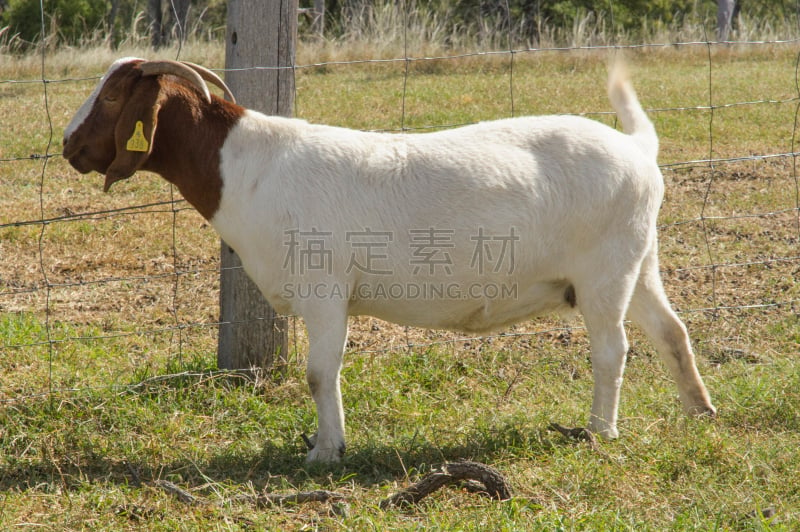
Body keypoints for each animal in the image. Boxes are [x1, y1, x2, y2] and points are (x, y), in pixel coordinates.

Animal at [61, 58, 712, 464]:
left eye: (114, 95)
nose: (69, 147)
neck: (244, 166)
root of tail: (638, 149)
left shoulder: (323, 290)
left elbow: (319, 373)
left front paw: (324, 452)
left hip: (604, 273)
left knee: (613, 350)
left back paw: (600, 431)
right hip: (638, 261)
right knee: (671, 331)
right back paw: (698, 412)